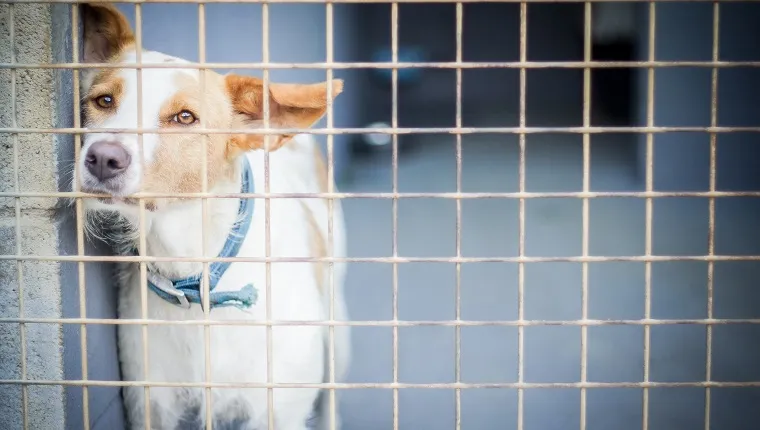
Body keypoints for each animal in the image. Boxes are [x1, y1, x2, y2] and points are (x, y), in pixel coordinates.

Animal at [77, 4, 350, 430]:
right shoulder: (151, 404)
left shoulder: (279, 407)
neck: (197, 269)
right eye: (104, 100)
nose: (103, 158)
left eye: (185, 117)